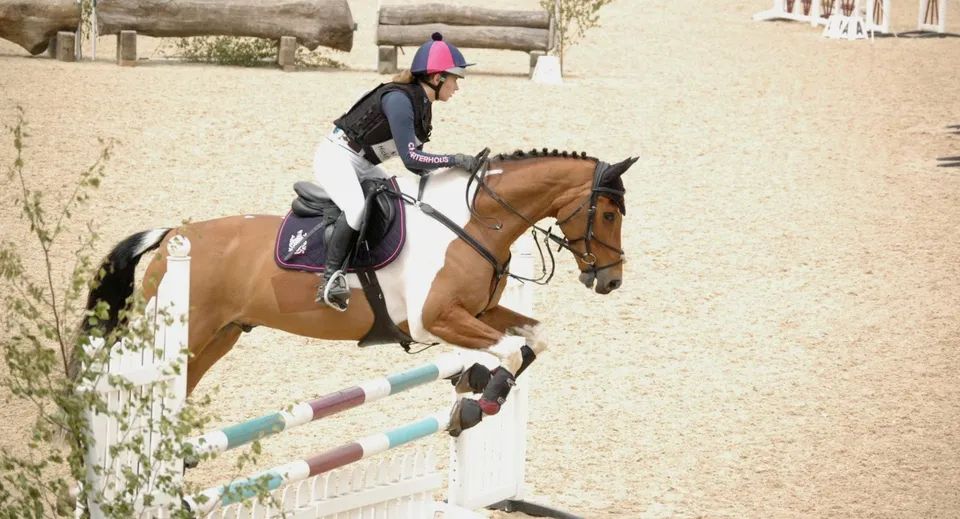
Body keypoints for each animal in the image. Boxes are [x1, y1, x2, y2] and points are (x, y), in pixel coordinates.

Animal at [74, 147, 637, 434]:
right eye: (609, 213)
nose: (611, 280)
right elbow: (511, 351)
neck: (474, 222)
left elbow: (532, 339)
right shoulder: (437, 318)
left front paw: (473, 389)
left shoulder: (479, 312)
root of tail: (173, 235)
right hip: (182, 331)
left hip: (219, 337)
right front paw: (484, 400)